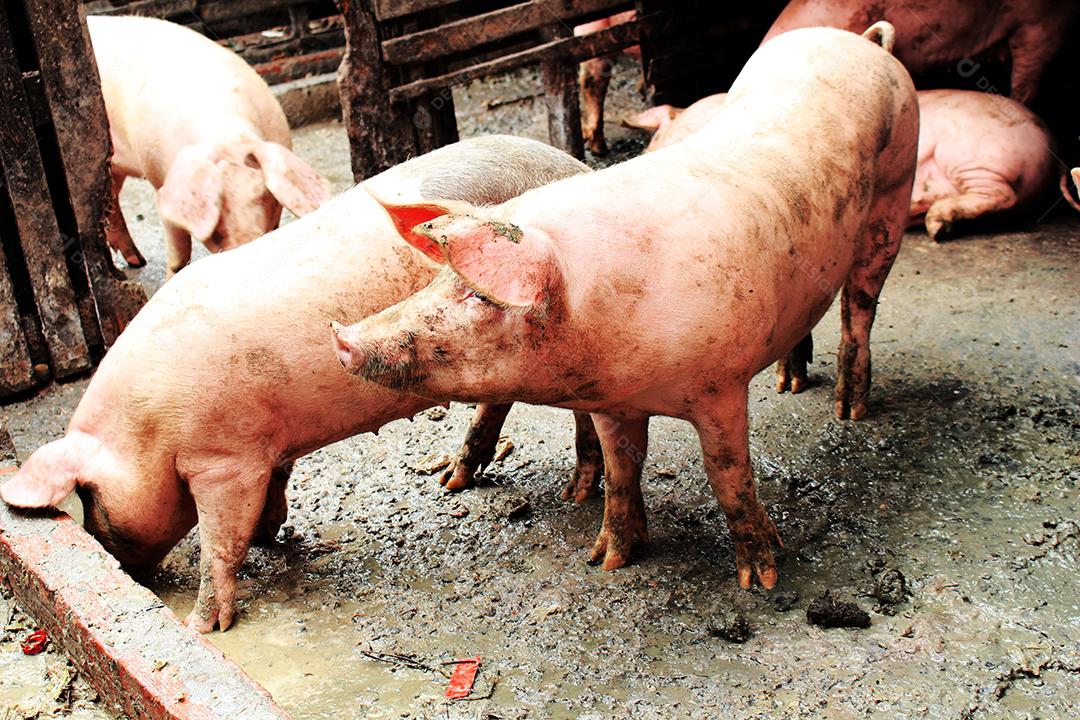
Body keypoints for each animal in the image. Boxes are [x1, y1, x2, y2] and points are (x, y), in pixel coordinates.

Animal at [0, 136, 593, 633]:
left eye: (88, 496)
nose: (120, 568)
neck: (145, 429)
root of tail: (576, 166)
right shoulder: (265, 440)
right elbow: (276, 483)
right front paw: (270, 533)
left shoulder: (221, 459)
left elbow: (220, 541)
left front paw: (202, 626)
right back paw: (451, 481)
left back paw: (578, 491)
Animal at [88, 15, 330, 276]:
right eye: (218, 212)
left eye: (264, 196)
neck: (227, 134)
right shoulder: (159, 179)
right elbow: (179, 250)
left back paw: (137, 261)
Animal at [333, 24, 919, 589]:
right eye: (440, 277)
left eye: (478, 293)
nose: (341, 337)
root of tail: (861, 41)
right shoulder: (613, 402)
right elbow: (621, 472)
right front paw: (608, 560)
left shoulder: (722, 384)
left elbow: (727, 473)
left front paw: (762, 579)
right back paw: (788, 385)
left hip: (895, 189)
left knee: (860, 305)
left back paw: (849, 410)